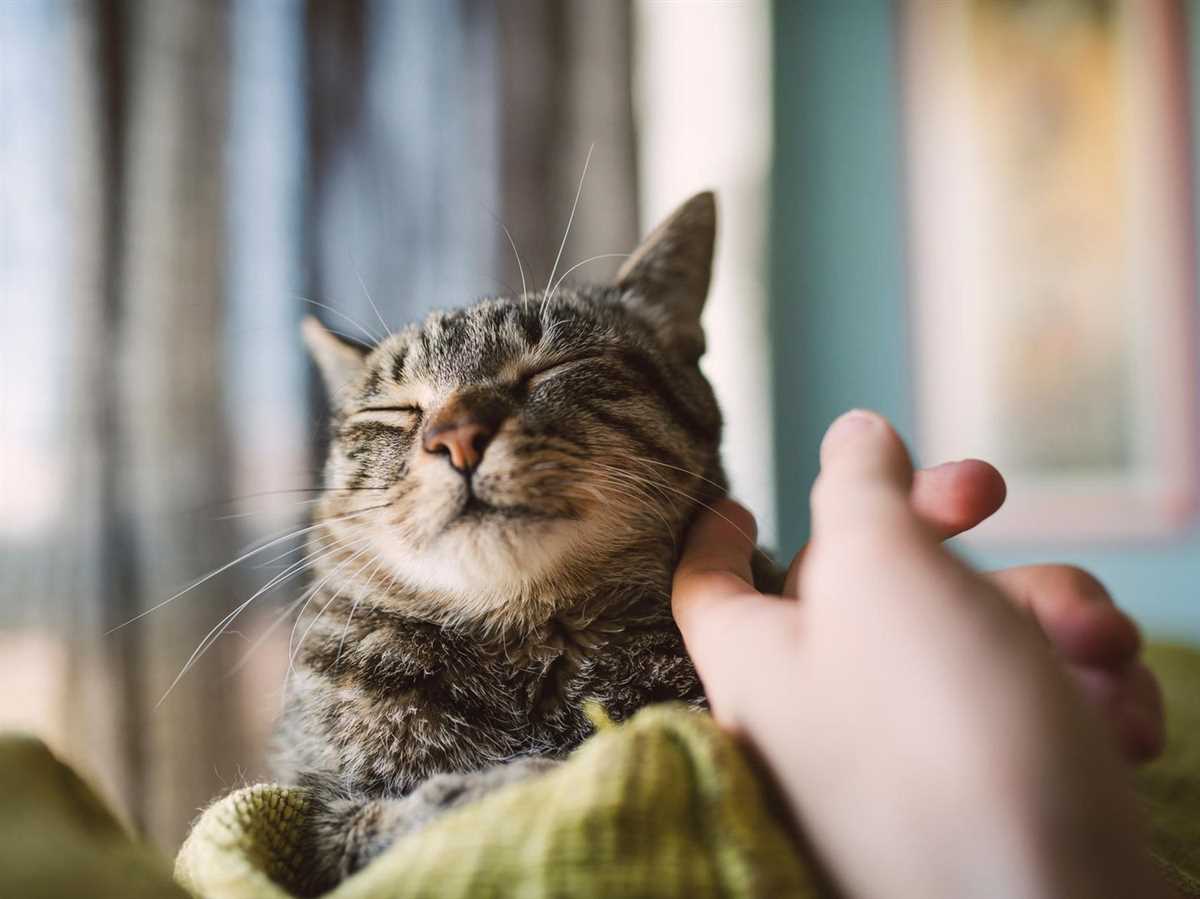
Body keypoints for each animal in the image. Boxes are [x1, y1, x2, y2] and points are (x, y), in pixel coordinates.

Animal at [272, 190, 768, 892]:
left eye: (555, 367)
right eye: (395, 411)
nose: (456, 436)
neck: (524, 643)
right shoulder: (319, 821)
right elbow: (407, 820)